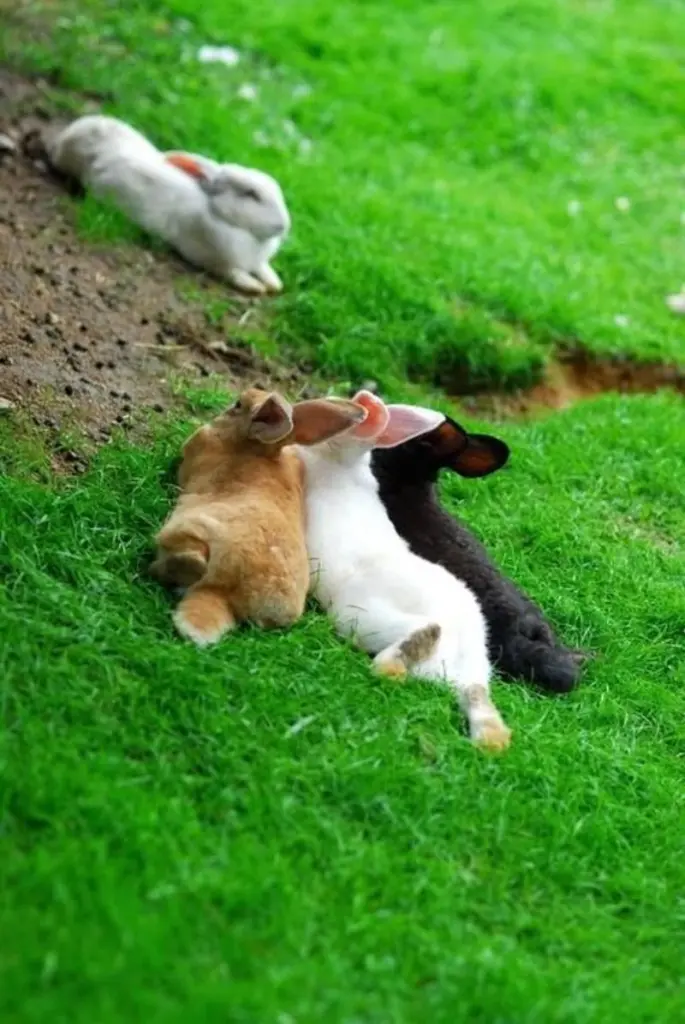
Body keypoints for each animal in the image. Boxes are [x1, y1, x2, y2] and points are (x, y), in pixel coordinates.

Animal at [47, 115, 291, 295]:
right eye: (251, 194)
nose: (284, 226)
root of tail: (75, 130)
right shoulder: (209, 257)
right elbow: (232, 272)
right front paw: (255, 286)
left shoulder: (257, 261)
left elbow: (264, 269)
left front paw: (275, 283)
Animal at [298, 390, 512, 752]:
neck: (343, 462)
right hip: (477, 670)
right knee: (479, 698)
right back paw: (491, 741)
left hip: (358, 615)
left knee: (417, 639)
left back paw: (387, 667)